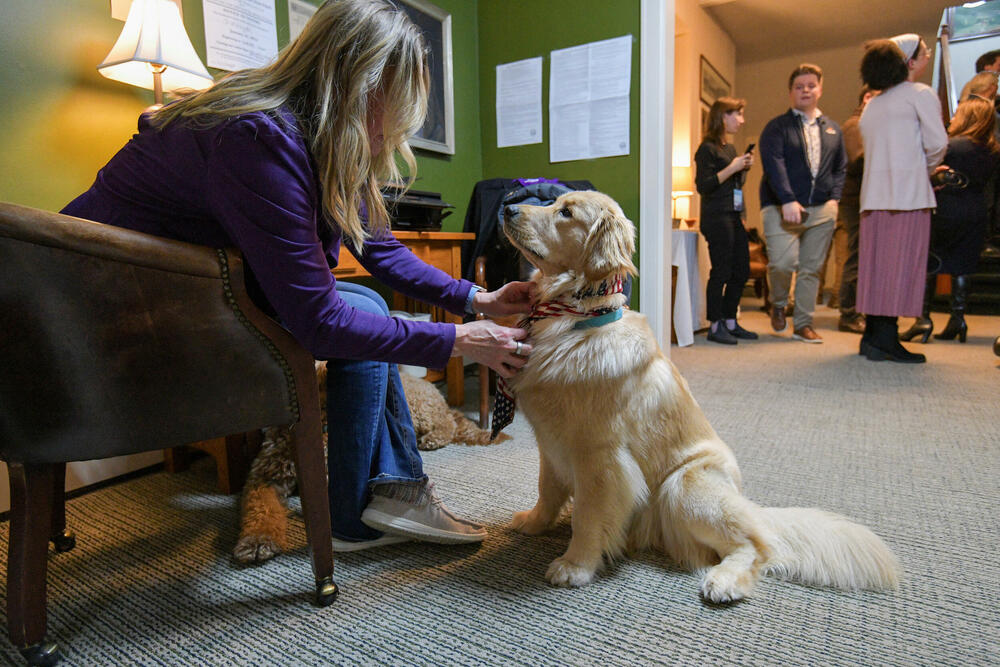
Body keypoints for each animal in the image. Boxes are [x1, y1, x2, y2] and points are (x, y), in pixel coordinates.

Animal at [230, 360, 504, 564]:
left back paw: (433, 438)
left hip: (420, 411)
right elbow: (260, 508)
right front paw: (257, 541)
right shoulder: (265, 476)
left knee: (448, 425)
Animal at [500, 190, 900, 604]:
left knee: (757, 545)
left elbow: (588, 515)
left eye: (566, 212)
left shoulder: (600, 455)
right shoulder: (551, 445)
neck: (574, 320)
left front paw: (576, 565)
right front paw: (533, 522)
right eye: (554, 203)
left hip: (683, 485)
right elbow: (547, 490)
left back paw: (724, 581)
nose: (507, 207)